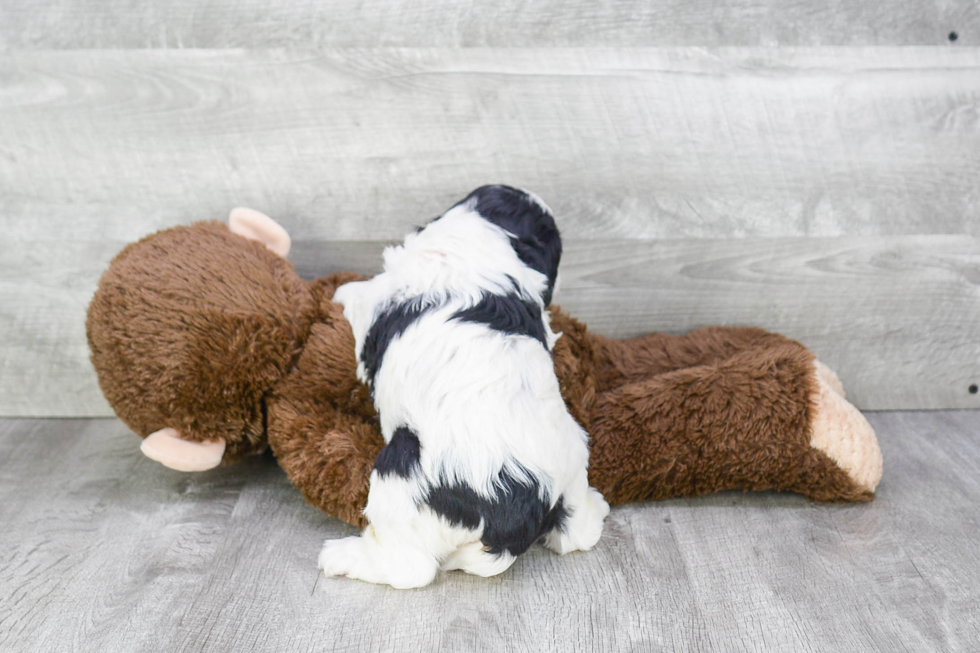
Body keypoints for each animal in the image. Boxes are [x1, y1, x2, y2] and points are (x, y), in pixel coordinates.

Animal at [322, 186, 608, 588]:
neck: (478, 242)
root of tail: (522, 506)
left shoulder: (378, 297)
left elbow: (357, 294)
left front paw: (339, 290)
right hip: (573, 472)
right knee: (578, 536)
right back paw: (598, 505)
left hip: (400, 473)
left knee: (410, 568)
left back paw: (343, 557)